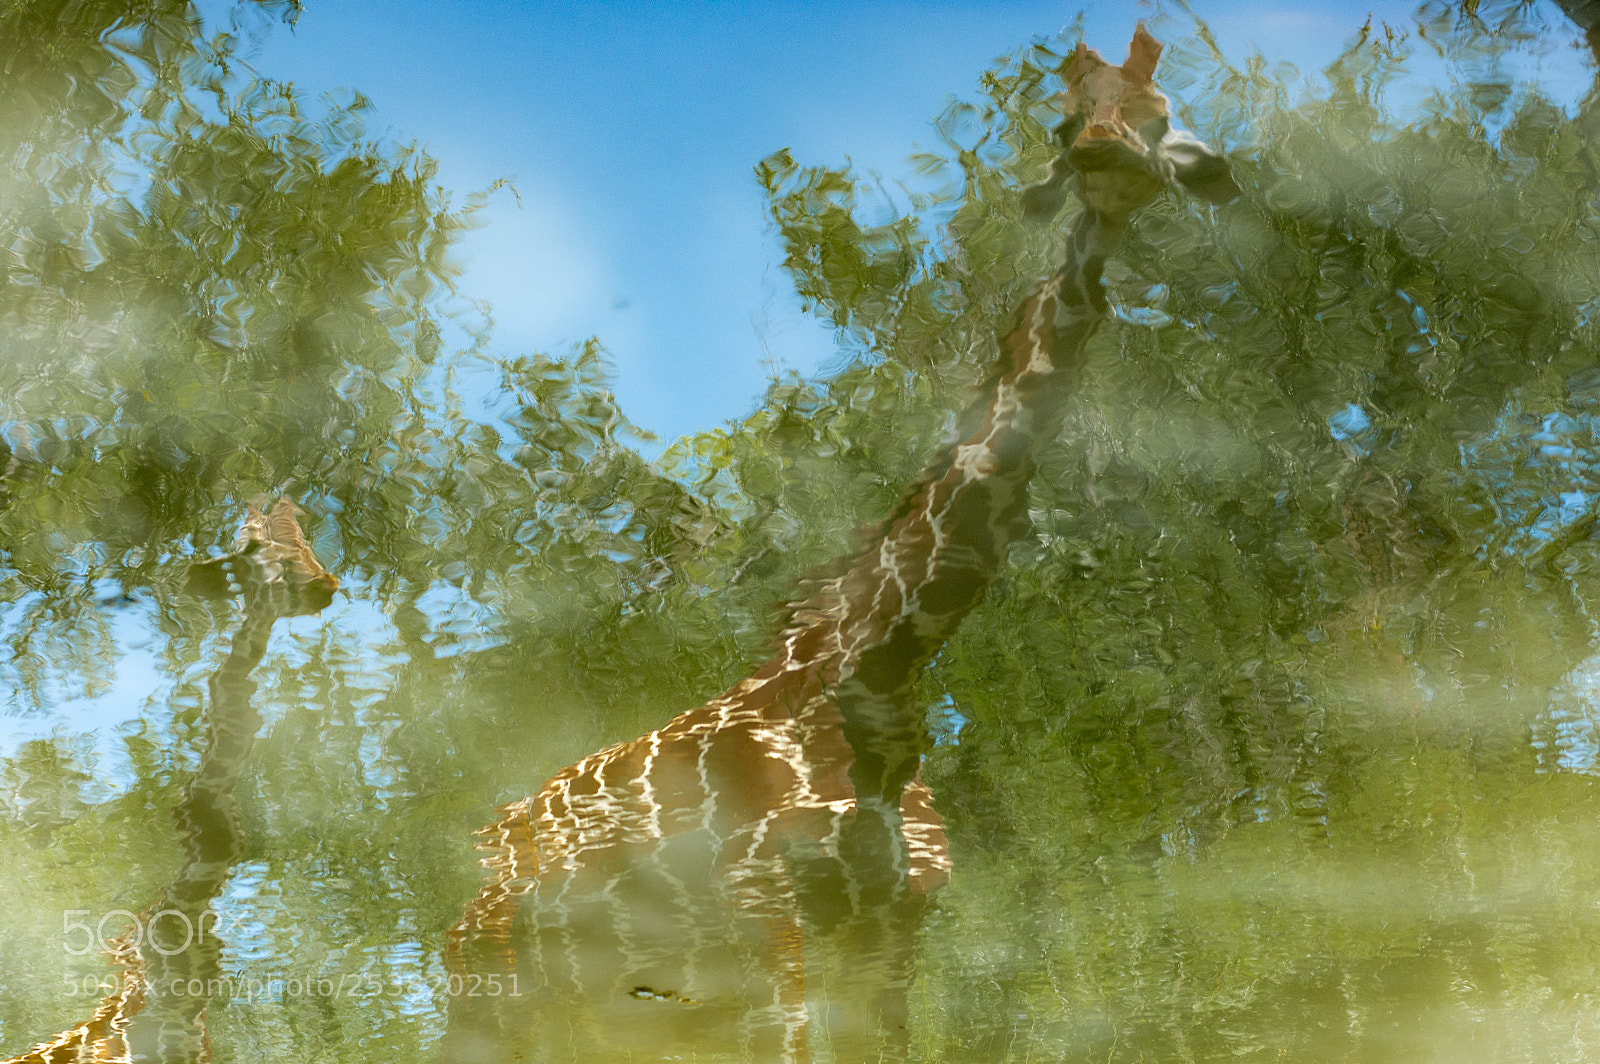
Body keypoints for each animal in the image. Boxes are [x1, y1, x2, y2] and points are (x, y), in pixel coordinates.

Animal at [444, 25, 1236, 1064]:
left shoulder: (890, 926)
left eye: (1164, 114)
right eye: (1067, 127)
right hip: (497, 989)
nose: (1115, 160)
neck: (868, 673)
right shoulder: (770, 915)